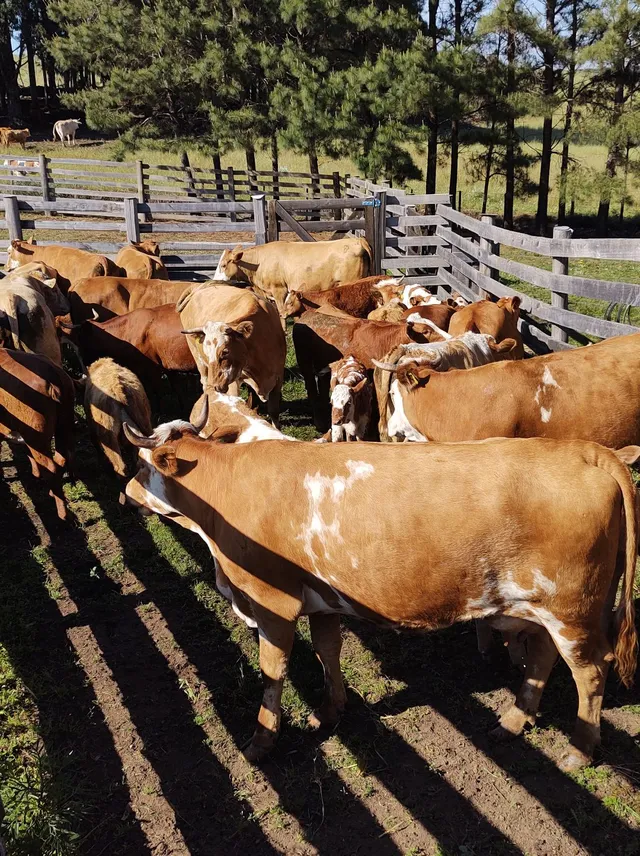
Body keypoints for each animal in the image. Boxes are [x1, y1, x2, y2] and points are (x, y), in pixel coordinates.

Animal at [0, 349, 75, 519]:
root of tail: (52, 374)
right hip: (64, 424)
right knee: (61, 459)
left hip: (37, 435)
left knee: (50, 467)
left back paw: (62, 514)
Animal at [124, 405, 639, 772]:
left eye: (144, 466)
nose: (126, 493)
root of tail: (582, 450)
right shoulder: (322, 602)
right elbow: (327, 652)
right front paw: (329, 711)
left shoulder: (273, 606)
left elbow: (273, 672)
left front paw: (261, 741)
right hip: (542, 608)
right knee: (544, 659)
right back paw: (513, 721)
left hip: (571, 611)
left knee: (591, 672)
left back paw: (580, 749)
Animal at [179, 283, 286, 425]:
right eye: (208, 353)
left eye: (225, 352)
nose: (215, 386)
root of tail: (198, 287)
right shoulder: (233, 384)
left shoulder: (278, 377)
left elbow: (274, 411)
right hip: (199, 361)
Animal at [214, 238, 373, 318]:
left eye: (223, 265)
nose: (215, 280)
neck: (260, 262)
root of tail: (357, 240)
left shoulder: (279, 290)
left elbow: (281, 313)